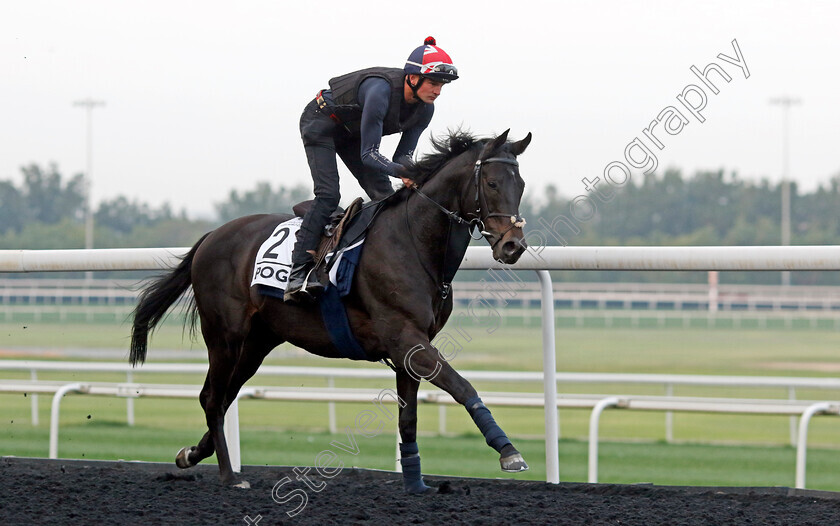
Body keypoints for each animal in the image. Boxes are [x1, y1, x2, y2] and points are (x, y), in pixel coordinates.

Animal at [126, 130, 532, 492]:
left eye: (522, 185)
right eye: (492, 183)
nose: (513, 245)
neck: (412, 241)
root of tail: (211, 236)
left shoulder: (411, 348)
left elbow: (409, 418)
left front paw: (416, 483)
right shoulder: (406, 338)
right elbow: (463, 387)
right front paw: (508, 451)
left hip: (256, 343)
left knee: (221, 398)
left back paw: (191, 454)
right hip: (225, 335)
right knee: (212, 398)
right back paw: (229, 475)